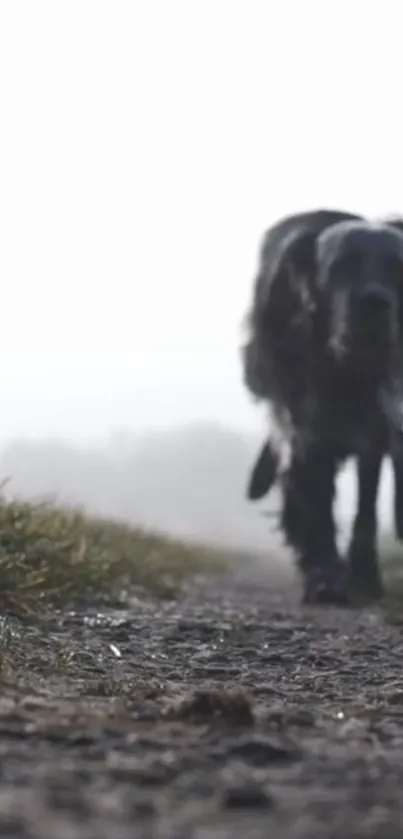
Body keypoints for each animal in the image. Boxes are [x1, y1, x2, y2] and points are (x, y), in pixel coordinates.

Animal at [243, 209, 403, 604]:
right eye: (341, 266)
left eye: (398, 268)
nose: (376, 304)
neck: (345, 373)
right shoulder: (305, 428)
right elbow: (316, 497)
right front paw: (325, 575)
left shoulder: (375, 430)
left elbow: (366, 504)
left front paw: (364, 576)